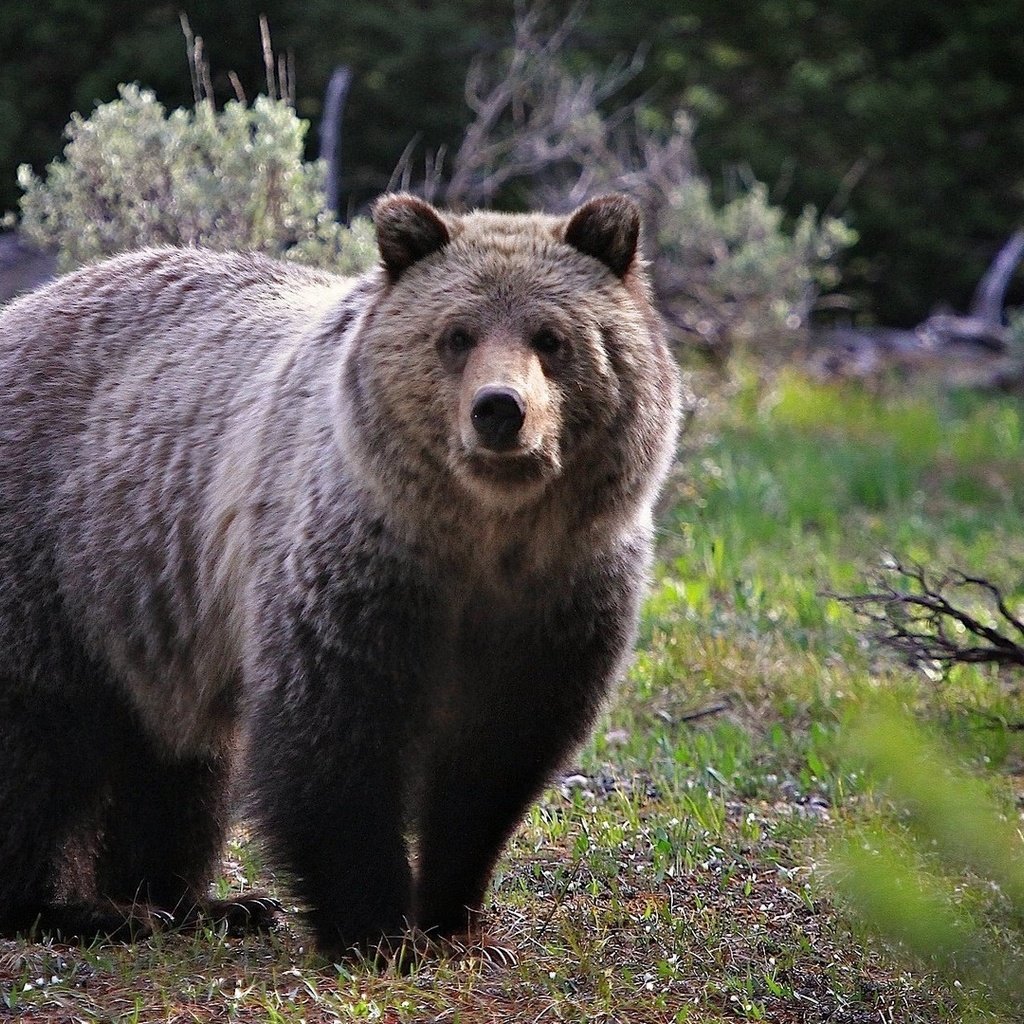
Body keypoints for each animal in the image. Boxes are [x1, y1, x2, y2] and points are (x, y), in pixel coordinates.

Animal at [2, 193, 688, 958]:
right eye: (456, 335)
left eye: (551, 337)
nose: (499, 409)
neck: (482, 538)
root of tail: (21, 307)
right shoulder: (354, 568)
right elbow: (335, 740)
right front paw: (380, 930)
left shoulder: (562, 591)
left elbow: (495, 761)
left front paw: (457, 919)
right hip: (61, 557)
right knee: (42, 738)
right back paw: (79, 910)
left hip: (155, 612)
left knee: (180, 760)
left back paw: (198, 903)